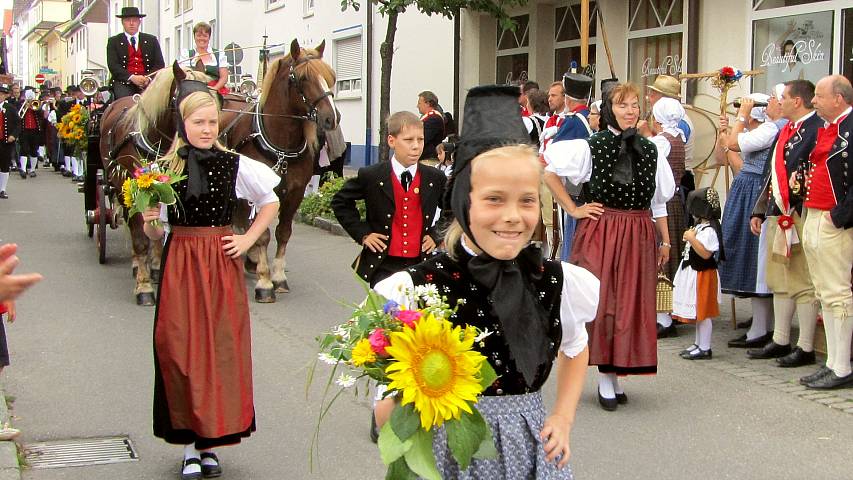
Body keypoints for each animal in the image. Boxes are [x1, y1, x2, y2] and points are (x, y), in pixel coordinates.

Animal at [96, 64, 208, 304]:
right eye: (182, 99)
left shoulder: (167, 189)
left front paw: (156, 267)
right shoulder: (133, 190)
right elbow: (139, 238)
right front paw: (144, 287)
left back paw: (154, 265)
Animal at [218, 39, 338, 302]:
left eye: (330, 77)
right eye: (302, 78)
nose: (332, 118)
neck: (281, 145)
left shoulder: (295, 192)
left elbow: (283, 232)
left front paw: (278, 276)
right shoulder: (257, 192)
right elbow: (263, 234)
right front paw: (264, 282)